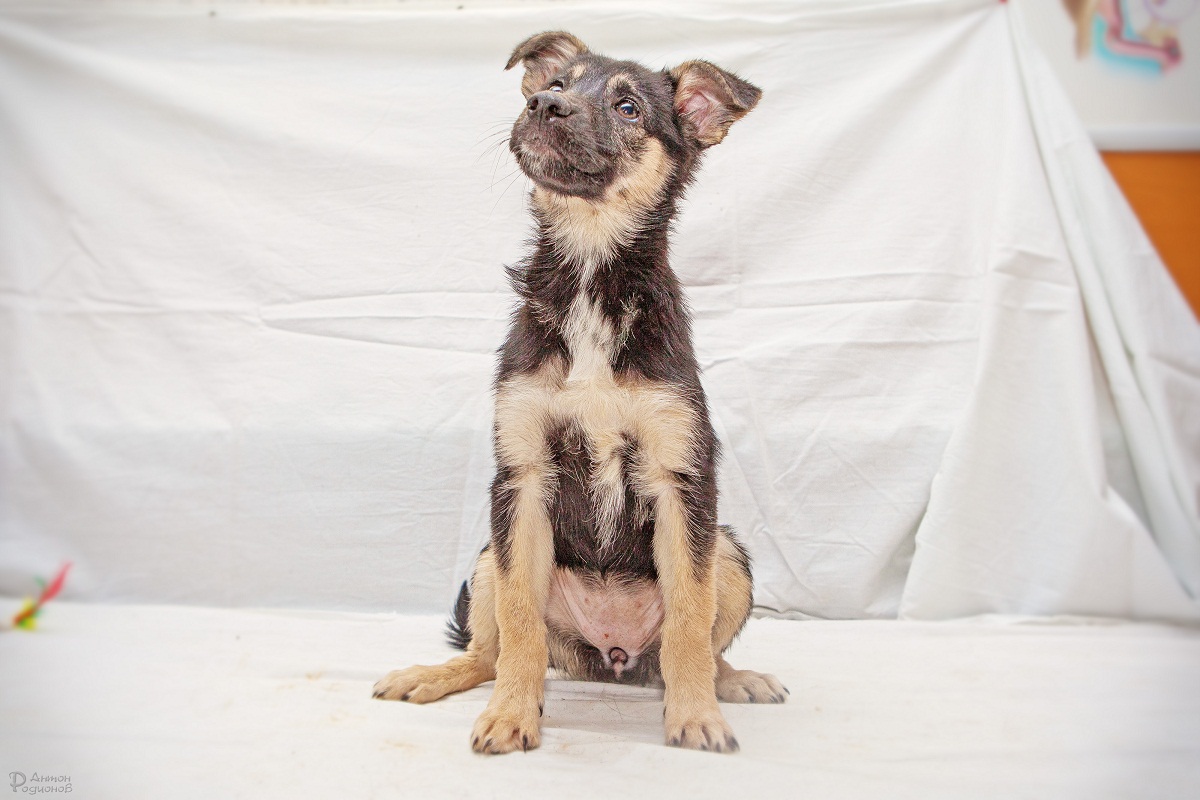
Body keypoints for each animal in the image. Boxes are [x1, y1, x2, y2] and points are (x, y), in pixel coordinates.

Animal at [373, 31, 784, 755]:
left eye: (628, 107)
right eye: (556, 82)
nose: (544, 104)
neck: (591, 273)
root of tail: (611, 660)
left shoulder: (682, 481)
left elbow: (690, 618)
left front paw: (696, 716)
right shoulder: (522, 479)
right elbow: (519, 623)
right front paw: (512, 713)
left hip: (729, 551)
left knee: (706, 644)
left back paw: (733, 681)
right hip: (489, 556)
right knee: (488, 649)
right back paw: (434, 674)